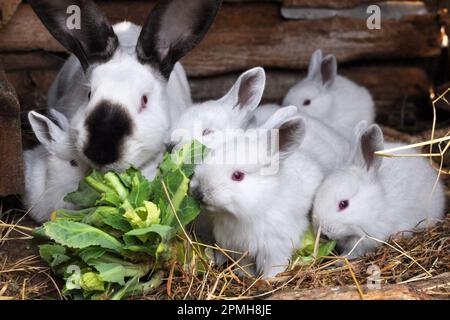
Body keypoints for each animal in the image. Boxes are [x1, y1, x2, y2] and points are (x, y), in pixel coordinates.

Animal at [189, 107, 324, 278]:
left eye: (238, 176)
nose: (198, 192)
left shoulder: (275, 247)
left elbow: (274, 268)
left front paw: (268, 280)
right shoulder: (241, 250)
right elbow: (245, 266)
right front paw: (245, 276)